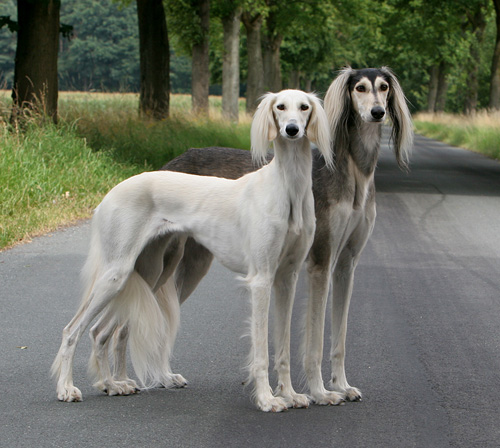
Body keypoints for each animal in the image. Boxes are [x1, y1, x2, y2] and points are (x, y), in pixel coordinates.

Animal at [51, 90, 332, 412]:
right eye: (280, 107)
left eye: (305, 107)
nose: (292, 130)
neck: (288, 189)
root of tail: (110, 193)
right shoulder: (261, 279)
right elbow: (261, 348)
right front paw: (266, 399)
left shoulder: (287, 276)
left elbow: (283, 345)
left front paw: (290, 395)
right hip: (117, 272)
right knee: (72, 330)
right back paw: (66, 388)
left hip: (147, 272)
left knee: (100, 331)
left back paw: (111, 383)